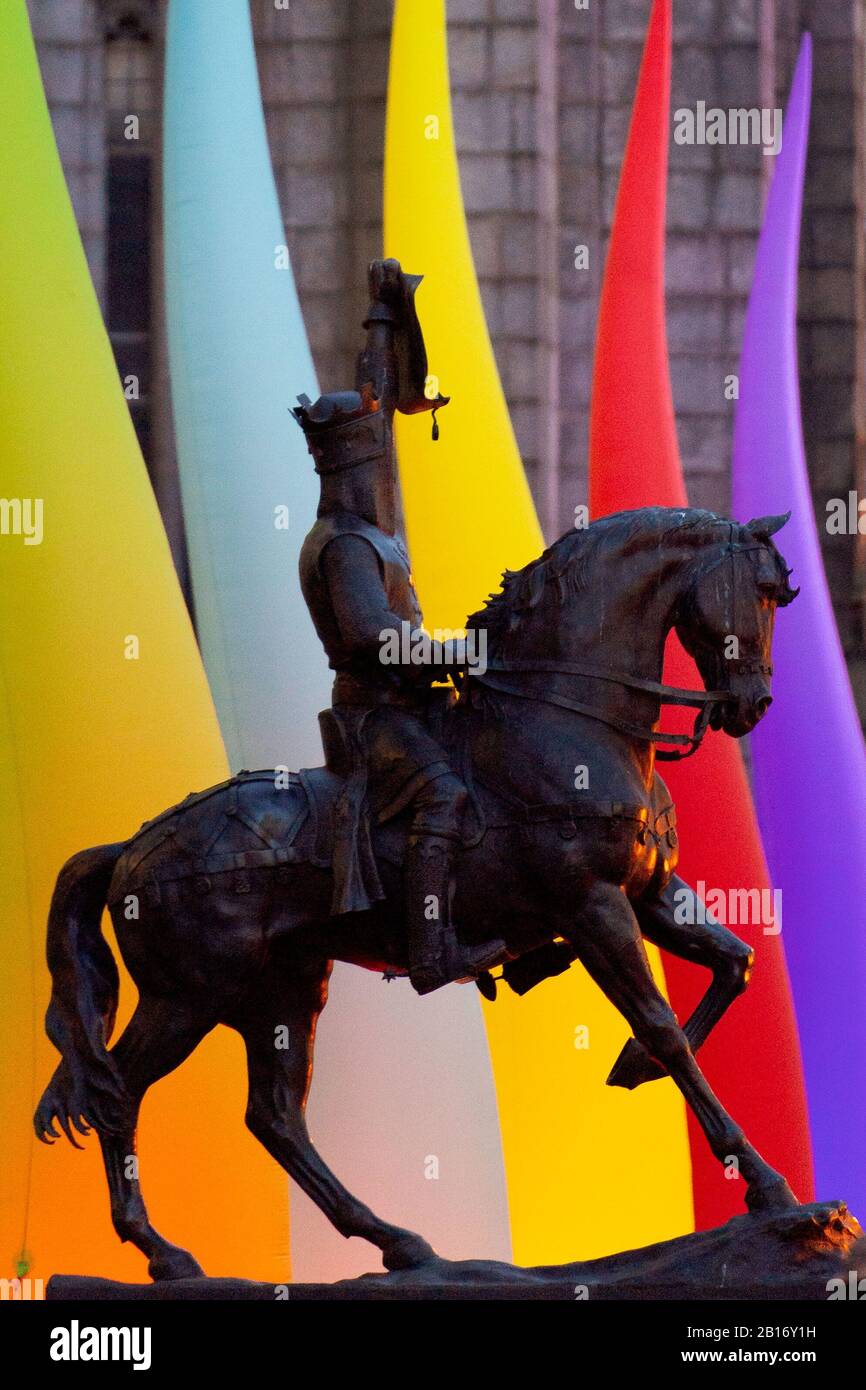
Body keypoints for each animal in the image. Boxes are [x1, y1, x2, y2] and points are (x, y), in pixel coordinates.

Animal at [37, 505, 800, 1273]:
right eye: (764, 591)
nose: (754, 704)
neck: (565, 717)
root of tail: (129, 847)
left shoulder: (647, 894)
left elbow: (735, 964)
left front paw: (636, 1067)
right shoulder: (592, 904)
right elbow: (661, 1024)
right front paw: (765, 1182)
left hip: (282, 989)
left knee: (275, 1115)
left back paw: (397, 1240)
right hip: (189, 997)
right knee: (119, 1093)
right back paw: (163, 1252)